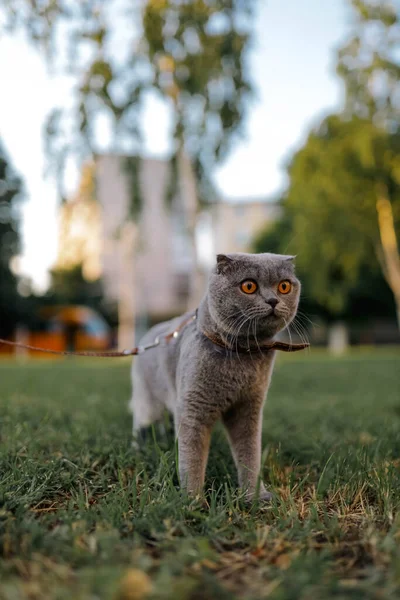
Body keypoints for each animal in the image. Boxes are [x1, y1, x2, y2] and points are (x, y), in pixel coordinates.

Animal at [130, 252, 302, 502]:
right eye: (249, 286)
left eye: (284, 286)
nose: (273, 301)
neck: (242, 355)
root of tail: (149, 334)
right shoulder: (193, 407)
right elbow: (192, 457)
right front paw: (192, 500)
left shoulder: (249, 407)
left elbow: (250, 453)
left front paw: (255, 497)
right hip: (147, 399)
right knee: (142, 424)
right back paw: (140, 450)